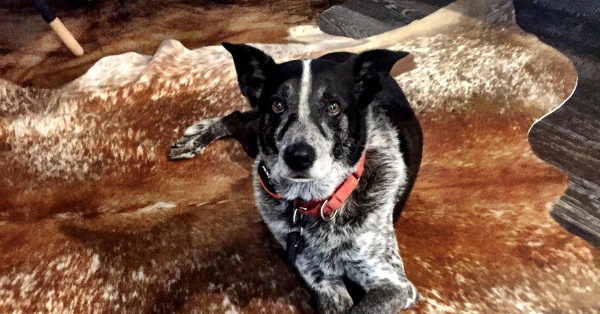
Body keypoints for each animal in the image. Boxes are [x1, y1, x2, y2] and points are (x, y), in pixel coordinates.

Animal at [166, 42, 424, 314]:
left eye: (333, 106)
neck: (318, 201)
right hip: (256, 138)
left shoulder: (392, 285)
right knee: (235, 117)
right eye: (277, 105)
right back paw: (191, 143)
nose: (299, 157)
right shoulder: (320, 278)